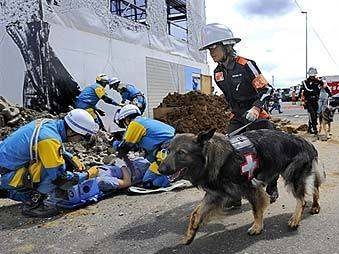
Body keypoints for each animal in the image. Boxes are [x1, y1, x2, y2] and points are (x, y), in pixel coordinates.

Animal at [159, 129, 324, 244]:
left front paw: (257, 227)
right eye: (168, 151)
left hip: (292, 176)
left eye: (181, 152)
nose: (160, 169)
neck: (213, 159)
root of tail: (306, 142)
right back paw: (315, 207)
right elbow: (196, 214)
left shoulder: (251, 188)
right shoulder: (214, 194)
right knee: (315, 188)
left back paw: (295, 219)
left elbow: (256, 210)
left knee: (302, 199)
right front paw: (189, 236)